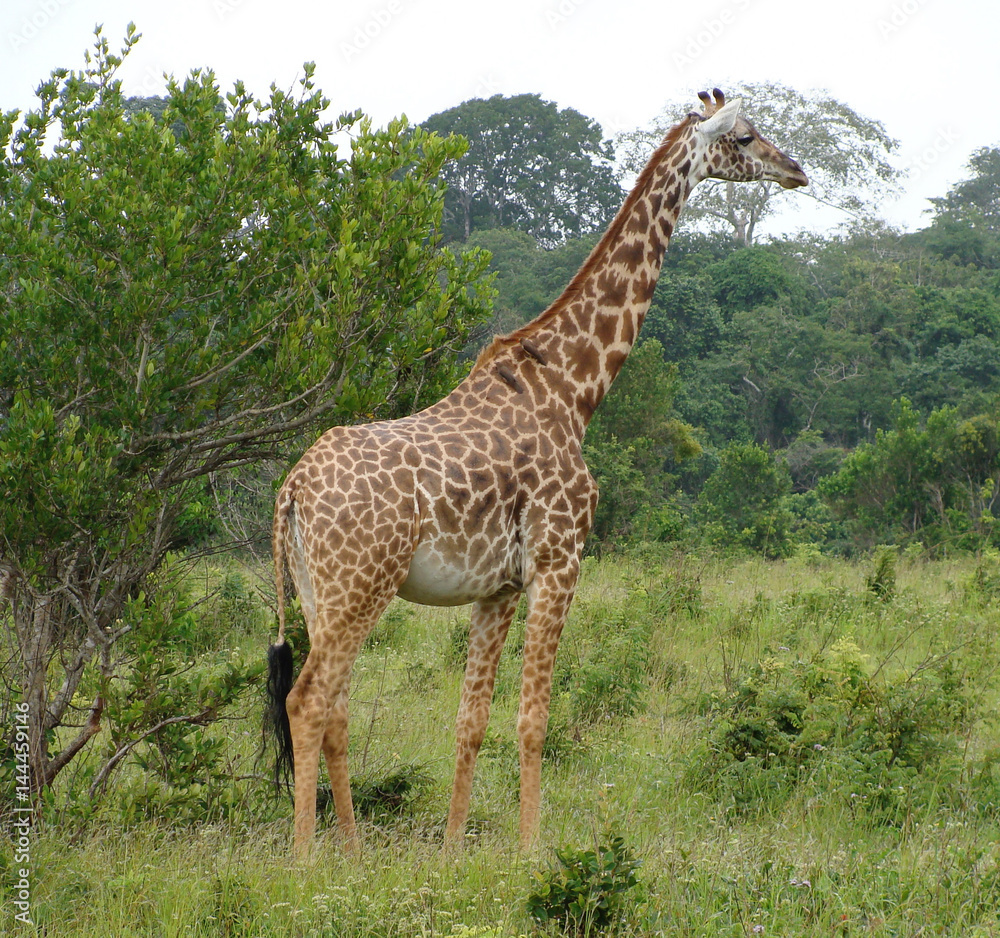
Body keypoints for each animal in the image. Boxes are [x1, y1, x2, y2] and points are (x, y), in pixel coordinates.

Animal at [265, 88, 808, 856]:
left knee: (334, 705)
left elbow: (470, 722)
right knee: (309, 700)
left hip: (320, 594)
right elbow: (533, 720)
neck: (573, 387)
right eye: (746, 136)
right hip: (359, 586)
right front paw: (529, 852)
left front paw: (453, 850)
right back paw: (307, 861)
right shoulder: (560, 559)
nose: (797, 171)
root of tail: (291, 490)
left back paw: (353, 850)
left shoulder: (497, 587)